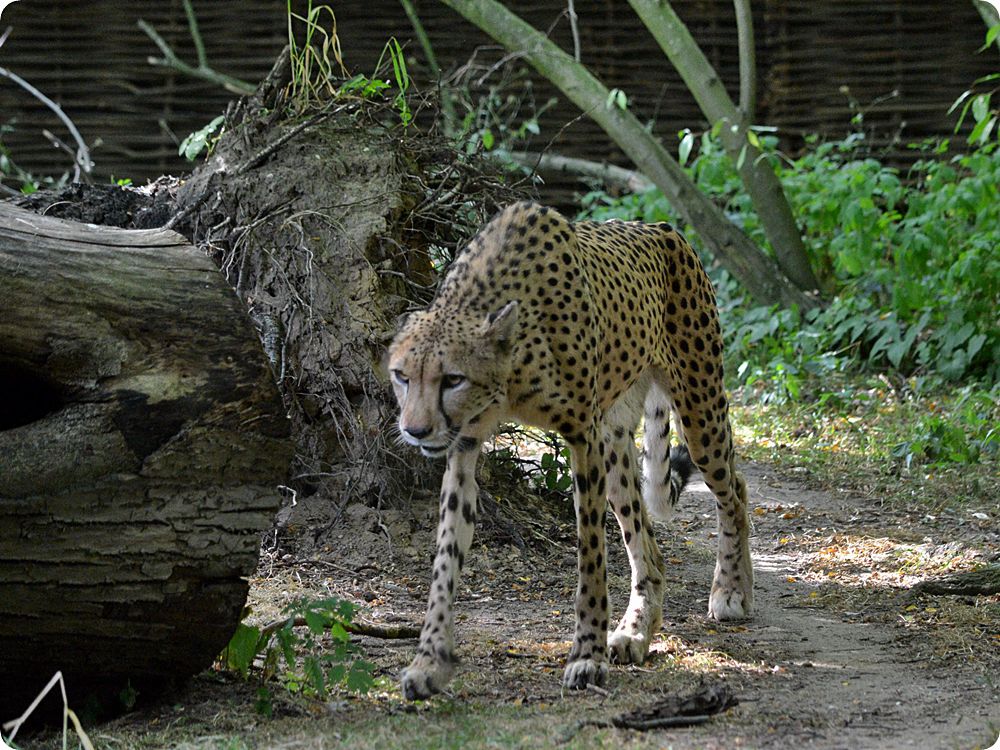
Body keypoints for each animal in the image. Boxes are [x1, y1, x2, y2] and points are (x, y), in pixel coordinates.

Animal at [387, 201, 753, 700]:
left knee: (734, 486)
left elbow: (591, 558)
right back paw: (636, 631)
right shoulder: (464, 446)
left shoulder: (582, 435)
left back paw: (732, 589)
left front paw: (586, 656)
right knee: (649, 547)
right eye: (402, 376)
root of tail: (663, 228)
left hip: (699, 411)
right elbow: (445, 559)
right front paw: (429, 662)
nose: (415, 431)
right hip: (617, 442)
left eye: (452, 379)